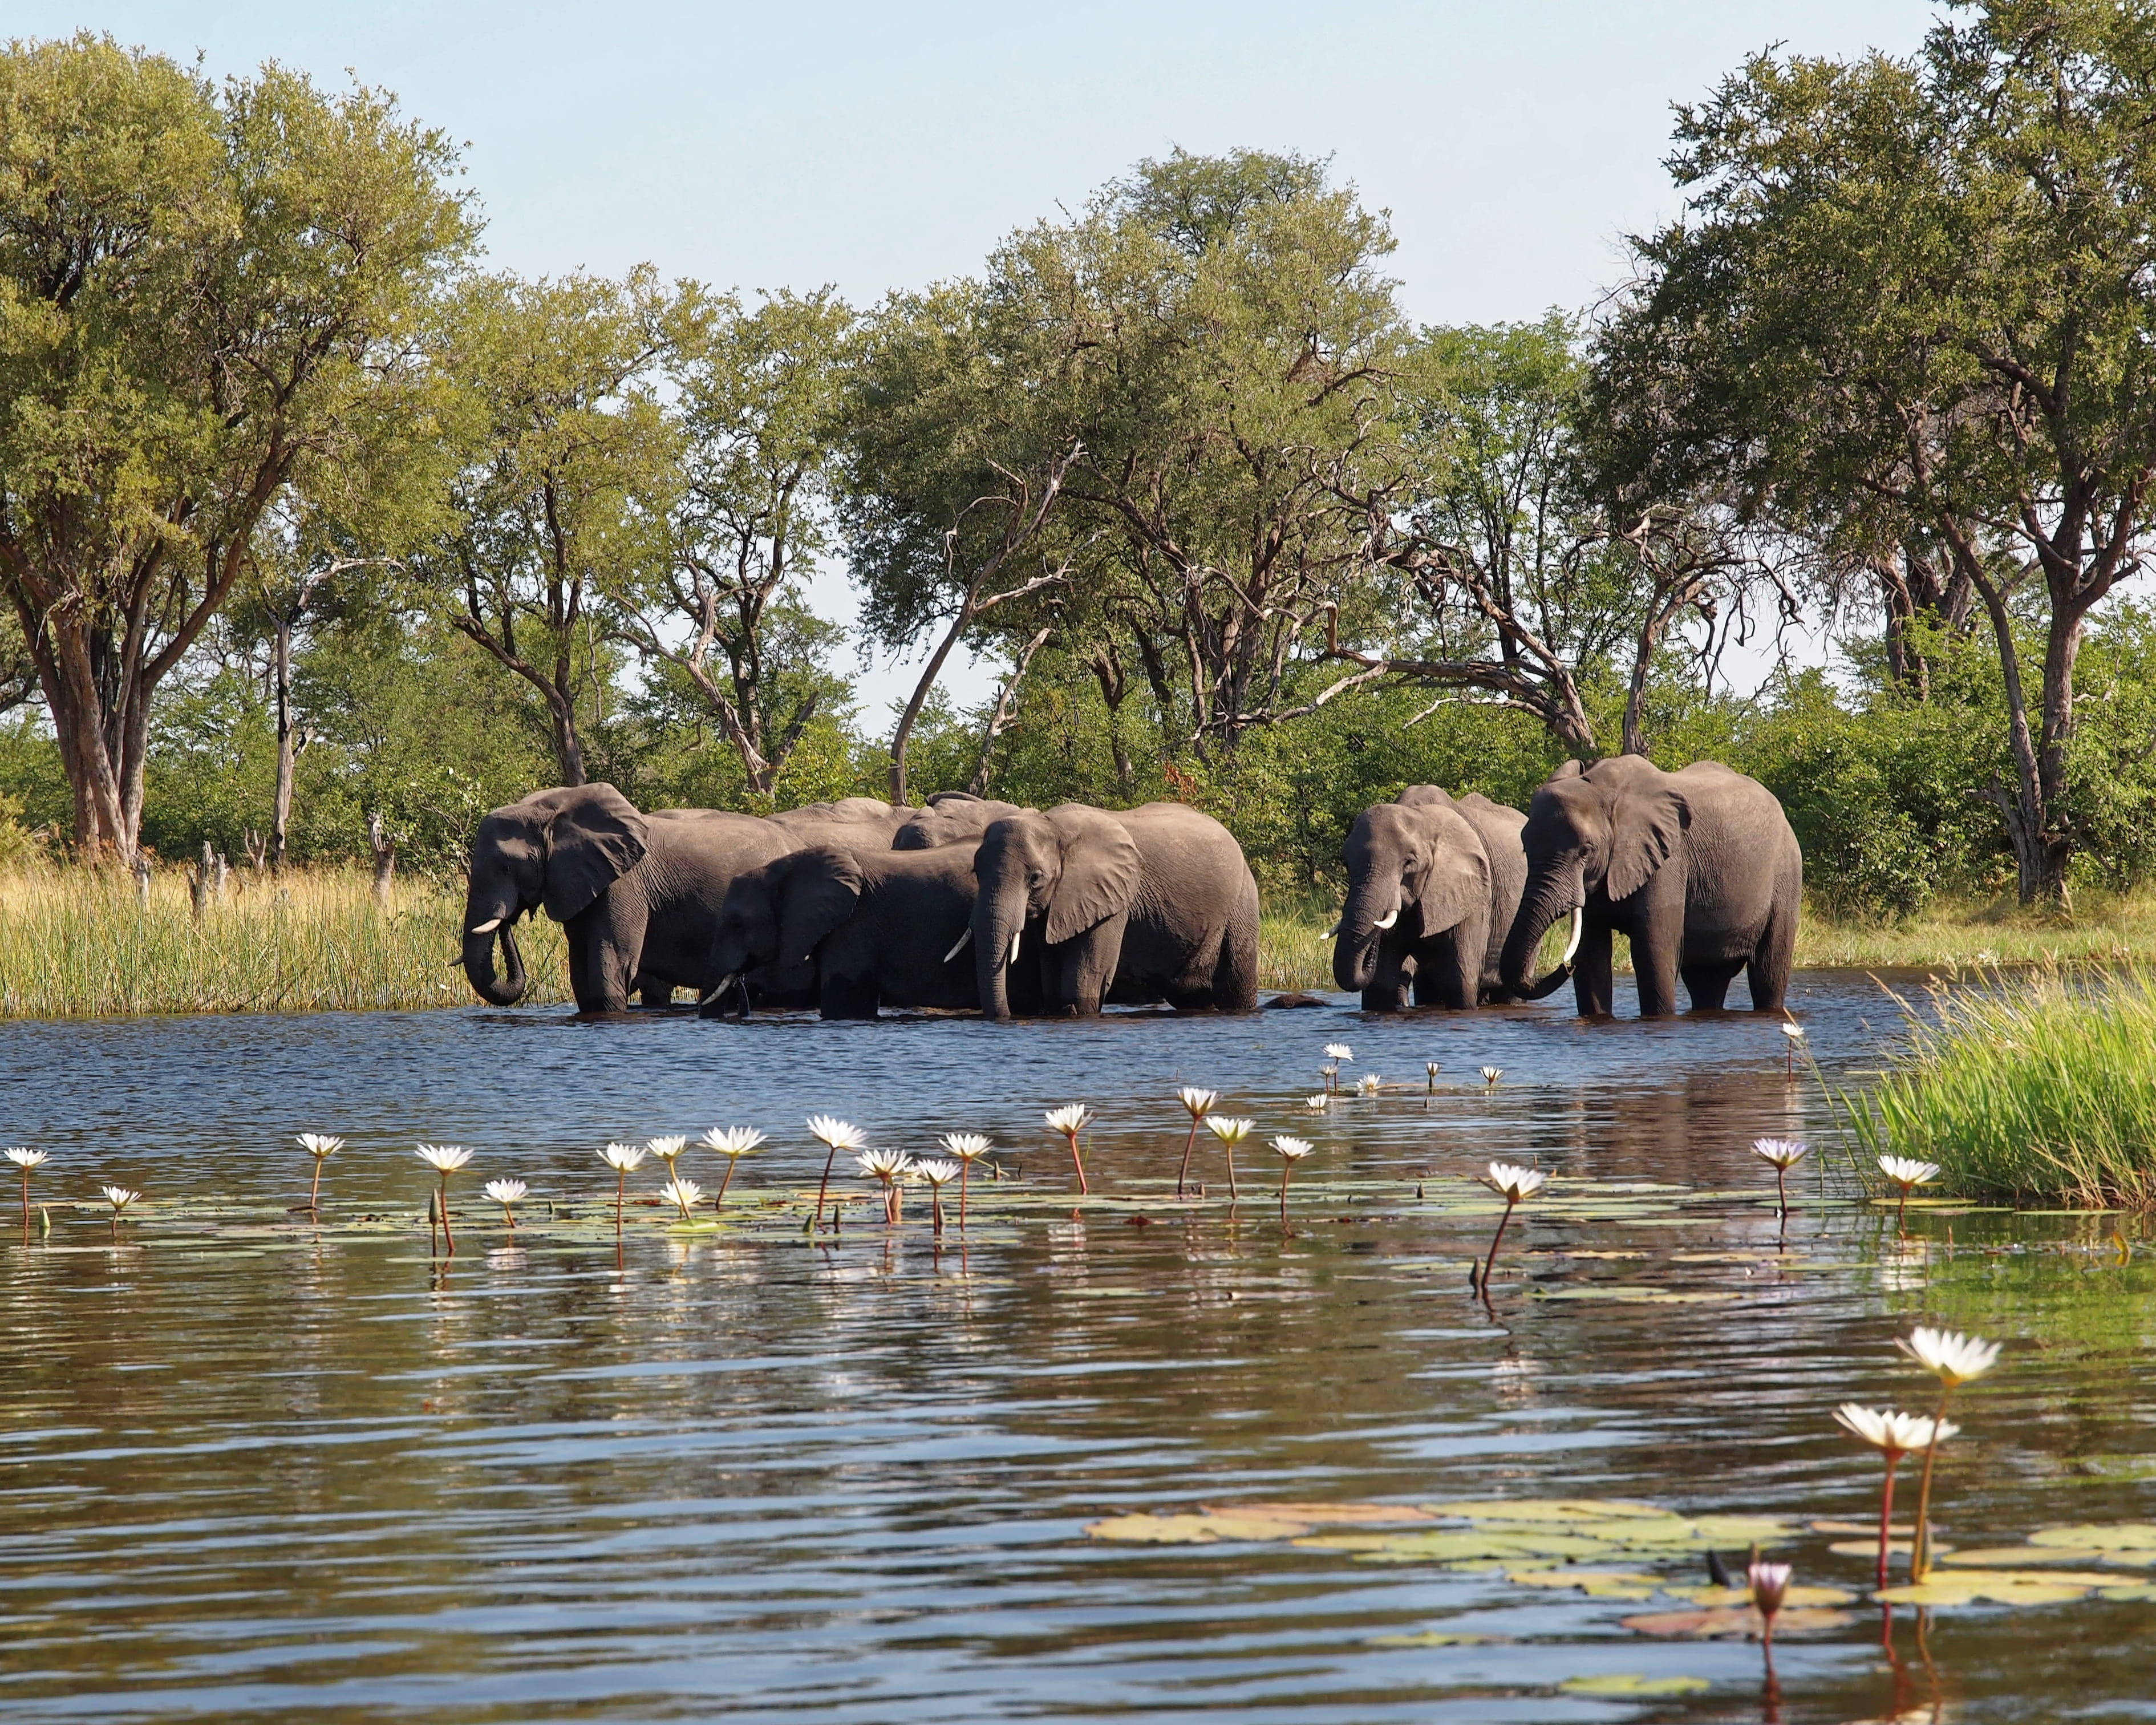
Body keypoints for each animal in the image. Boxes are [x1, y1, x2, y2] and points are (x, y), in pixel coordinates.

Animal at [461, 784, 790, 1014]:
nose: (509, 917)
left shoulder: (625, 885)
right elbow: (581, 973)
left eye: (507, 867)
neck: (555, 807)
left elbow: (611, 963)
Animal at [969, 801, 1260, 1017]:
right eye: (977, 873)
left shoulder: (1113, 902)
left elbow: (1084, 980)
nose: (1007, 1016)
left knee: (1236, 988)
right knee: (1192, 996)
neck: (1052, 825)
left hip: (1242, 902)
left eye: (1036, 879)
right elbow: (1052, 979)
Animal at [1332, 786, 1528, 1010]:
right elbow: (1380, 987)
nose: (1373, 936)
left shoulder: (1472, 895)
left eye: (1409, 863)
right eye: (1347, 863)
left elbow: (1460, 981)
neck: (1420, 816)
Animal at [1499, 756, 1802, 1017]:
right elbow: (1592, 958)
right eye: (1525, 849)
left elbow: (1653, 953)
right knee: (1706, 980)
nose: (1564, 965)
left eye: (1586, 851)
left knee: (1768, 973)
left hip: (1786, 874)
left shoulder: (1667, 864)